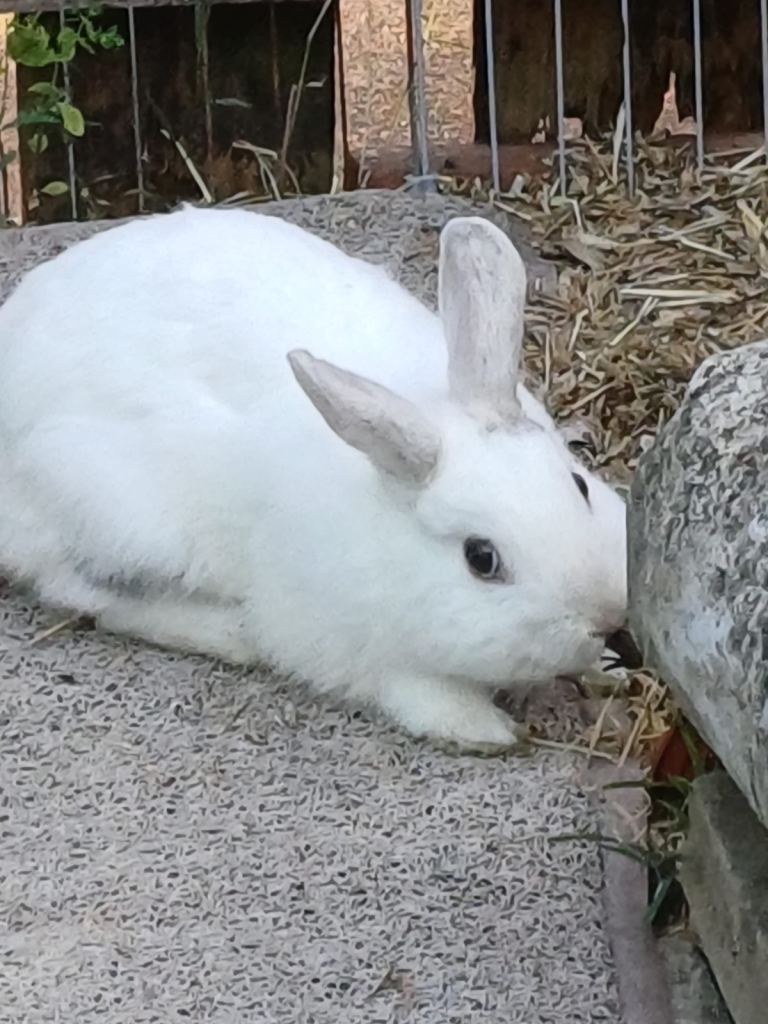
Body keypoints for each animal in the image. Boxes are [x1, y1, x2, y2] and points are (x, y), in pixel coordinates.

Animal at [0, 205, 628, 752]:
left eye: (579, 487)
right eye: (481, 558)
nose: (604, 618)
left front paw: (609, 670)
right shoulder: (363, 651)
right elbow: (422, 694)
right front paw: (487, 733)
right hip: (115, 514)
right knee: (81, 590)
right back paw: (233, 634)